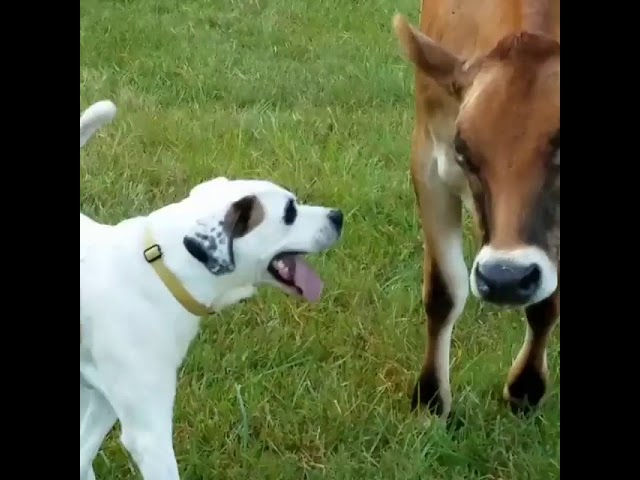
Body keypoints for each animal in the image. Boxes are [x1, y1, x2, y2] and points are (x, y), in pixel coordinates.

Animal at [392, 0, 556, 418]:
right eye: (463, 152)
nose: (505, 278)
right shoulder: (428, 162)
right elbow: (444, 291)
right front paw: (430, 400)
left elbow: (547, 302)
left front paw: (526, 388)